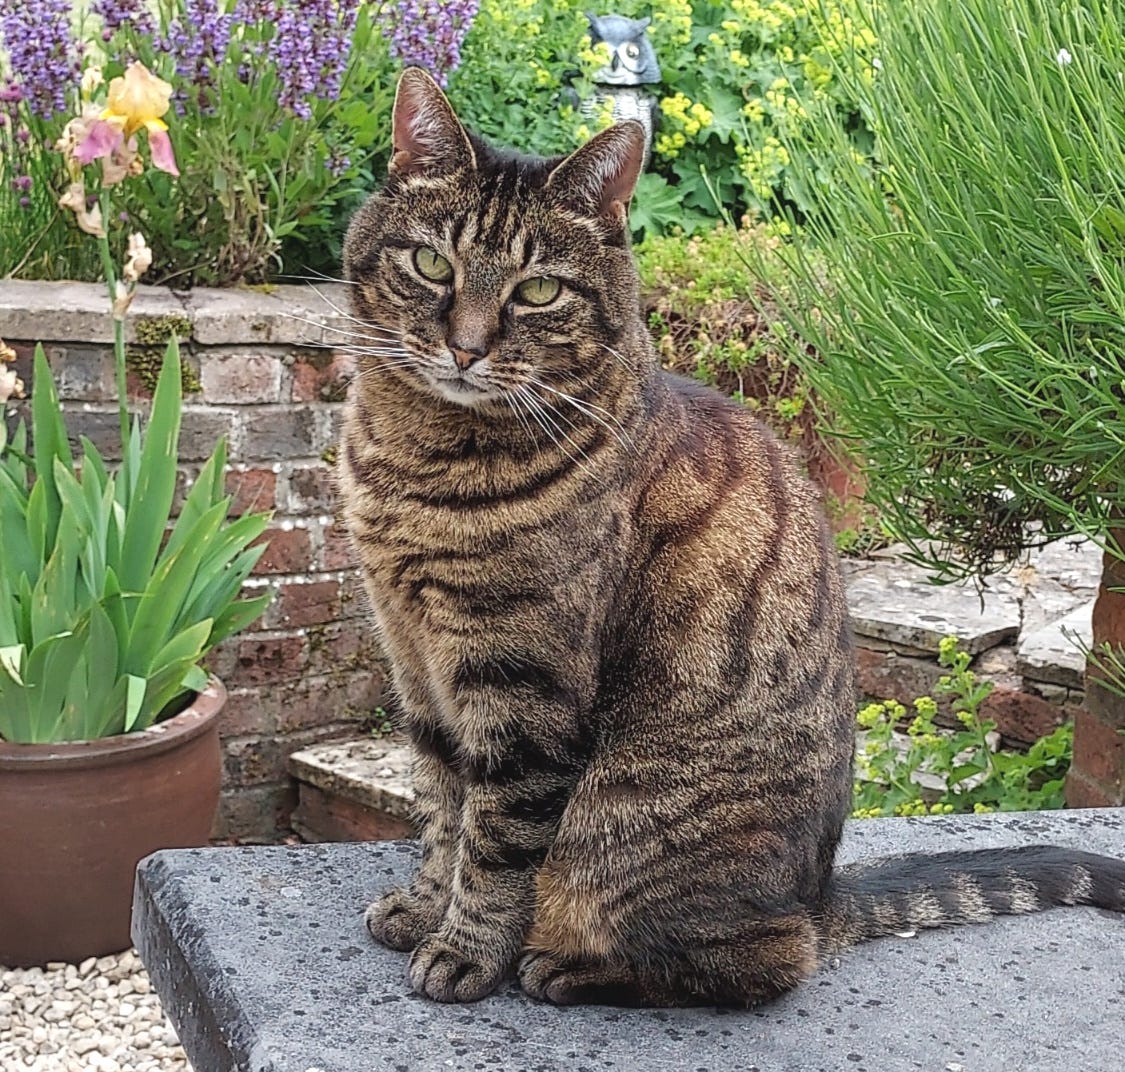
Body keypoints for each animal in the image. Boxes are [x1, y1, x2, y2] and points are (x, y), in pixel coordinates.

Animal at [339, 66, 1125, 1003]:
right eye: (431, 264)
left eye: (537, 291)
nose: (464, 349)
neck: (417, 460)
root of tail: (822, 894)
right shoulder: (415, 664)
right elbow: (441, 806)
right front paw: (423, 906)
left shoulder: (521, 686)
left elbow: (493, 840)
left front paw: (464, 949)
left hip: (618, 820)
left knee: (766, 960)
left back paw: (567, 968)